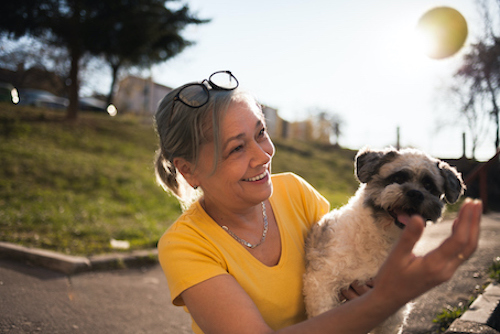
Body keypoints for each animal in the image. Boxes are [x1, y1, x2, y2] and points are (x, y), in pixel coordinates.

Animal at [300, 148, 464, 334]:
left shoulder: (390, 310)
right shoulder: (322, 286)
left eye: (428, 186)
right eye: (398, 178)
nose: (416, 194)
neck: (380, 237)